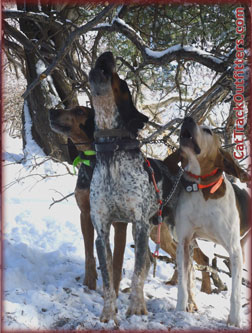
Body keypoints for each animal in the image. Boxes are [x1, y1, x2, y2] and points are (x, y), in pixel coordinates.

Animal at [48, 106, 128, 294]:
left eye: (79, 111)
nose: (52, 110)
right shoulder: (85, 214)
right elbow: (89, 253)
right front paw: (89, 281)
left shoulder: (120, 224)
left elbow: (117, 262)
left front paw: (113, 292)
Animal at [175, 116, 250, 326]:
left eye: (208, 131)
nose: (187, 118)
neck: (201, 188)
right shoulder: (184, 242)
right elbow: (183, 283)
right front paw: (180, 310)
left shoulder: (234, 250)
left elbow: (235, 293)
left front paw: (235, 319)